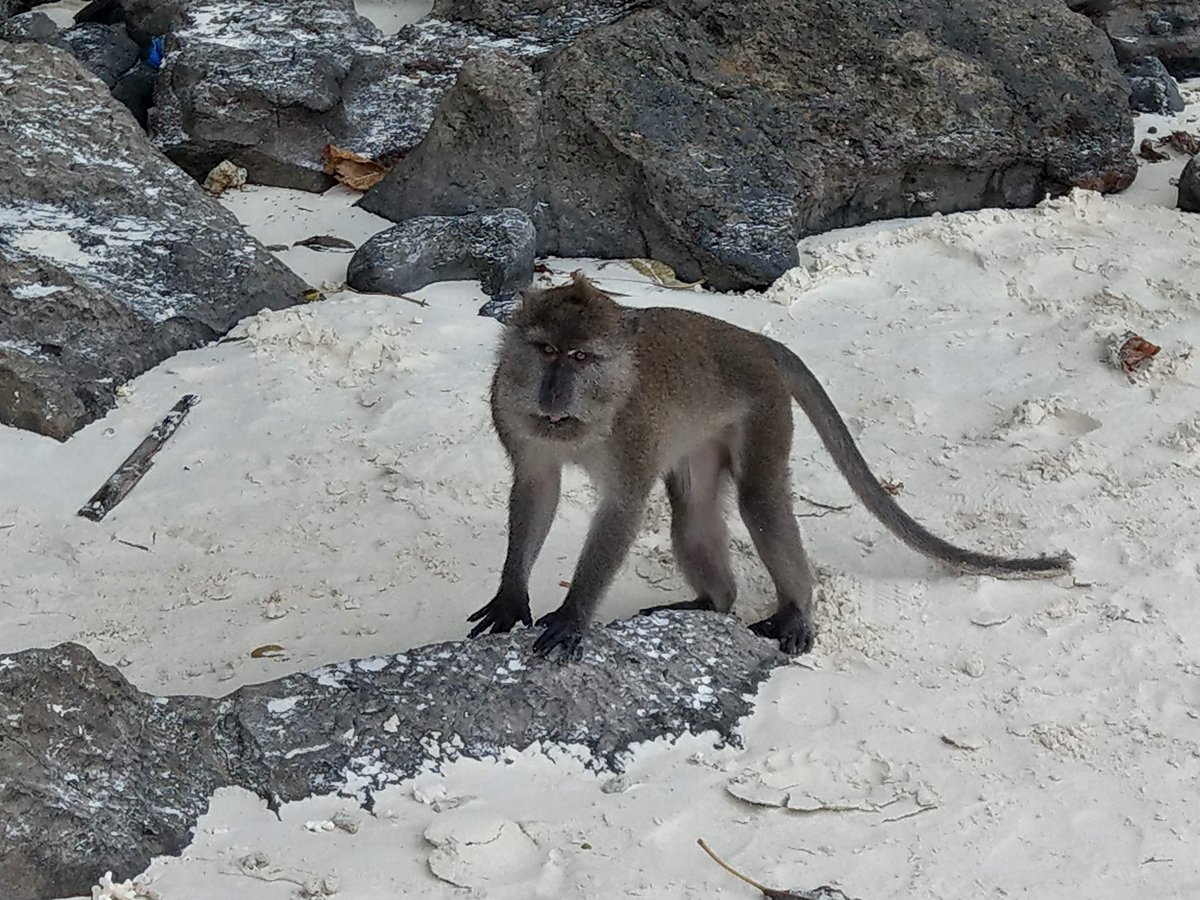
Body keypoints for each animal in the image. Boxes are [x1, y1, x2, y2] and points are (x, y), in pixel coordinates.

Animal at [468, 274, 1072, 659]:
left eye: (580, 357)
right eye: (545, 350)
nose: (553, 392)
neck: (583, 418)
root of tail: (755, 339)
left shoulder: (634, 433)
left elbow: (623, 508)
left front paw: (573, 616)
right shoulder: (513, 411)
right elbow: (537, 488)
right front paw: (511, 596)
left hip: (765, 408)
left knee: (760, 500)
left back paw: (797, 609)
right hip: (706, 435)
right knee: (694, 513)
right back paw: (712, 603)